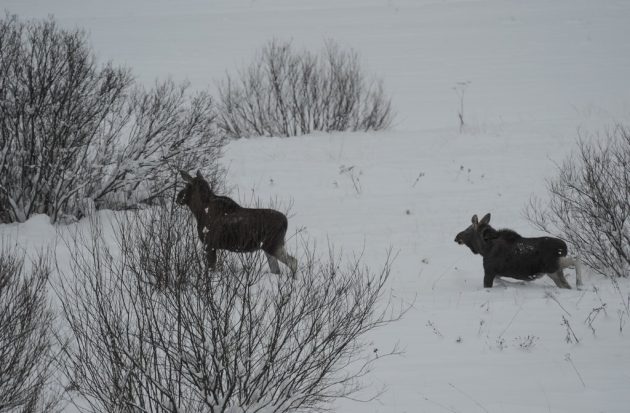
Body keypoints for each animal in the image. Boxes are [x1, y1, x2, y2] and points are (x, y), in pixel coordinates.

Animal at [456, 214, 584, 288]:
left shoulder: (489, 271)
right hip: (554, 271)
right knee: (566, 282)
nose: (457, 237)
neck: (484, 248)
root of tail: (564, 247)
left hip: (553, 266)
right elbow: (501, 280)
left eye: (468, 229)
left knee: (576, 259)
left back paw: (579, 283)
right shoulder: (496, 273)